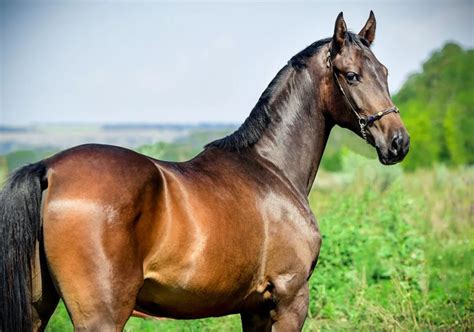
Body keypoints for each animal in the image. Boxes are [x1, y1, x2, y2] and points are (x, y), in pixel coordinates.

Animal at [0, 10, 410, 332]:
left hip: (39, 307)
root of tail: (48, 170)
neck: (272, 167)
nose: (398, 142)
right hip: (102, 317)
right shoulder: (290, 298)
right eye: (352, 75)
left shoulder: (254, 308)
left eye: (384, 71)